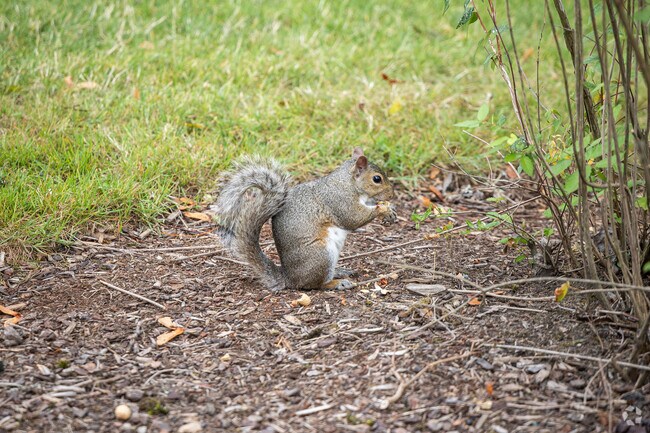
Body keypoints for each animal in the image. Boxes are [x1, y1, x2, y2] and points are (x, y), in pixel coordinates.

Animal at [214, 147, 396, 291]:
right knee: (313, 285)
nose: (391, 195)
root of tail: (289, 278)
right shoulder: (339, 200)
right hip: (321, 255)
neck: (348, 183)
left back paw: (339, 272)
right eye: (377, 179)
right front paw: (382, 209)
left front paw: (390, 209)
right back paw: (337, 283)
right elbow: (353, 218)